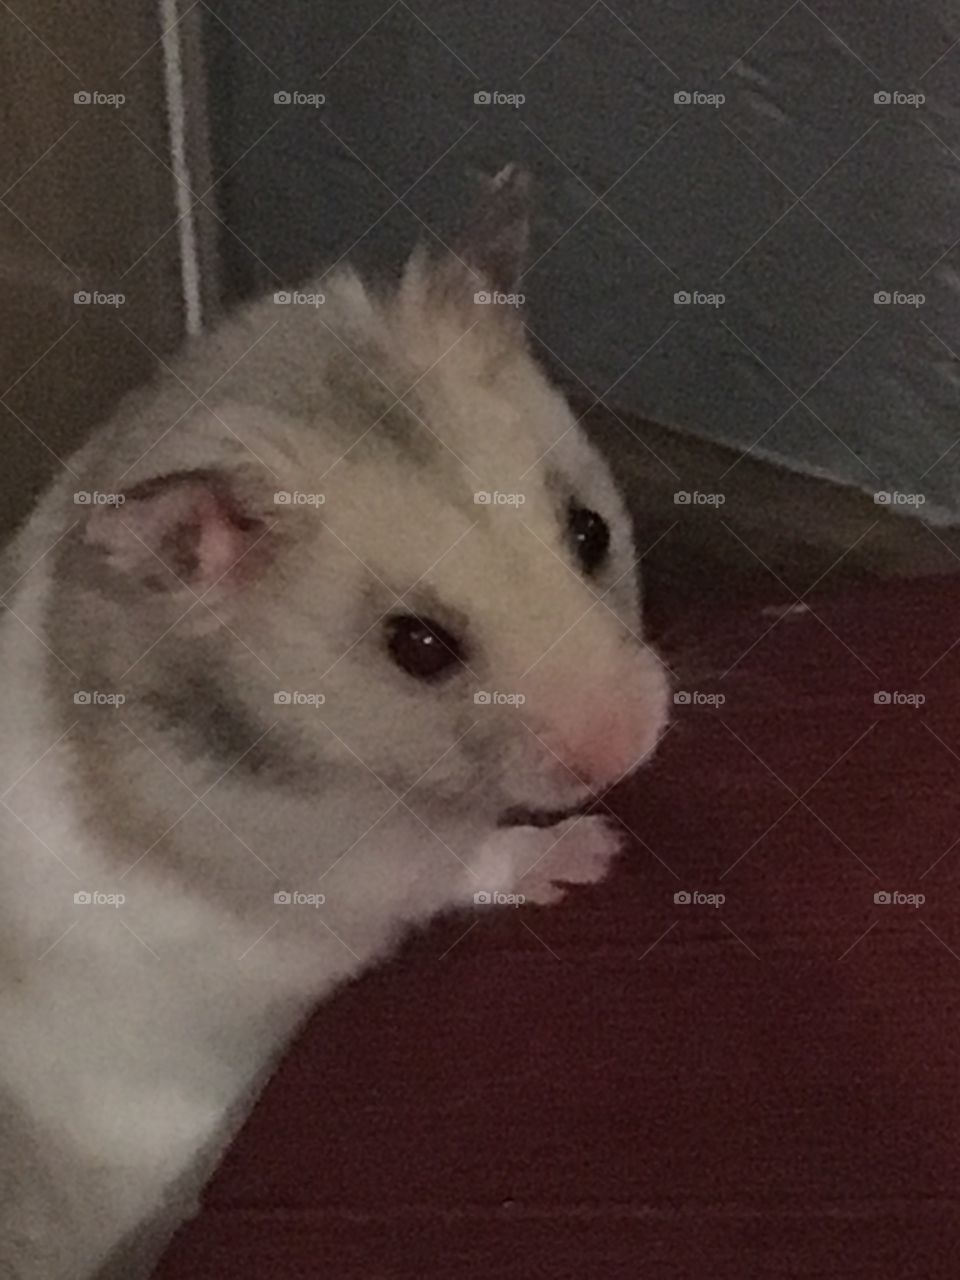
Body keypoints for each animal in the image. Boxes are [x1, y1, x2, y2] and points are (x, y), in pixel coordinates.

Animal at [0, 166, 669, 1278]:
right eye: (418, 647)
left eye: (590, 532)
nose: (629, 750)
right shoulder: (355, 877)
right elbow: (464, 862)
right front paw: (590, 851)